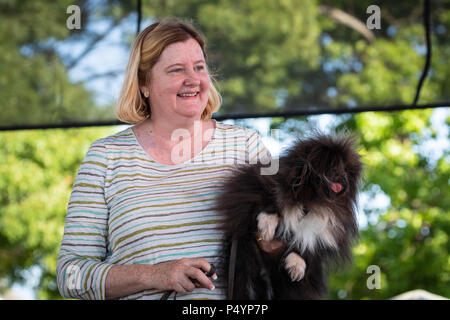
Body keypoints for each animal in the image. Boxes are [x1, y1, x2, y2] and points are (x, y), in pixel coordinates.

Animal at [214, 131, 362, 298]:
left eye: (347, 172)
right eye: (334, 168)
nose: (344, 178)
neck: (311, 200)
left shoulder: (325, 231)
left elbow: (306, 246)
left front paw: (297, 264)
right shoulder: (254, 184)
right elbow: (268, 200)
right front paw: (268, 224)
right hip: (245, 259)